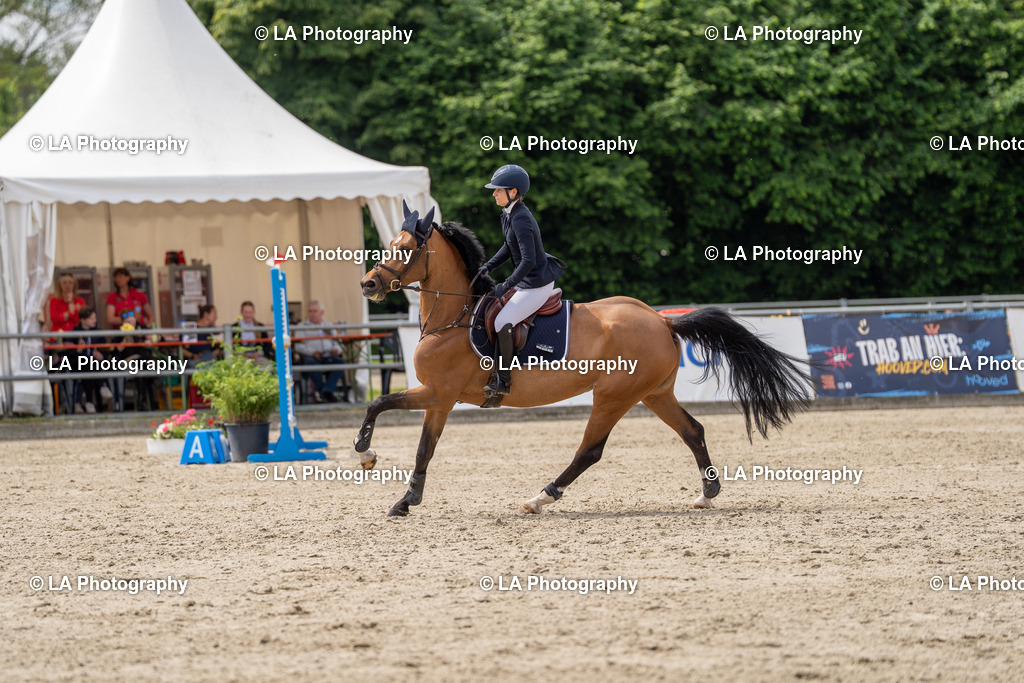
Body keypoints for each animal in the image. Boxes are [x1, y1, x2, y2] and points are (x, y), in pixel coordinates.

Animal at [357, 214, 811, 517]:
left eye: (405, 249)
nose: (368, 284)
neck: (455, 316)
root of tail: (662, 320)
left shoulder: (439, 392)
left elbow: (379, 404)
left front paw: (366, 453)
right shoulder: (439, 399)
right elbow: (423, 448)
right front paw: (405, 500)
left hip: (613, 395)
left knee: (589, 450)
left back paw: (540, 497)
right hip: (654, 393)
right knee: (692, 431)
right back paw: (707, 493)